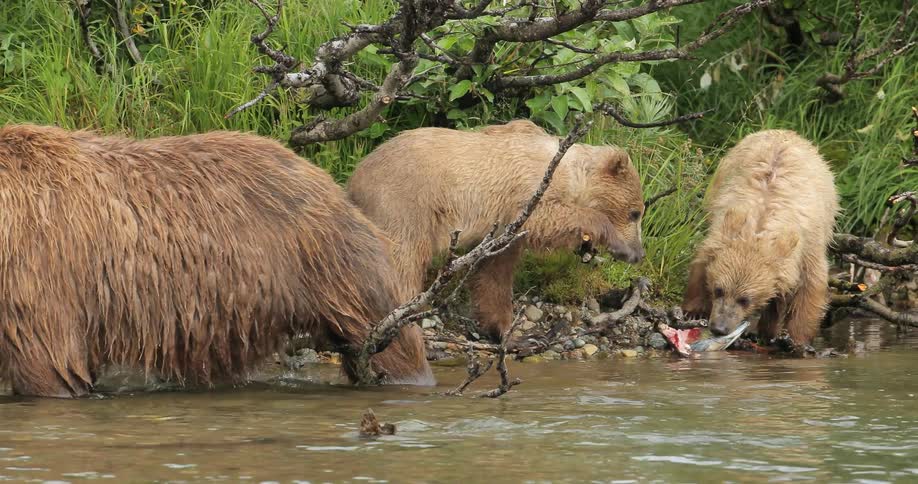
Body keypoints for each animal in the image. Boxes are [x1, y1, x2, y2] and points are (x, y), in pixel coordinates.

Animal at [347, 119, 646, 341]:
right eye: (636, 213)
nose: (638, 254)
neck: (572, 173)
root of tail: (355, 176)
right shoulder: (528, 191)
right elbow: (545, 218)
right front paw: (614, 238)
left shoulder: (504, 230)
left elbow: (495, 273)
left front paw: (507, 331)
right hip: (405, 202)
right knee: (404, 256)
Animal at [681, 129, 840, 344]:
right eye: (718, 290)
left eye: (745, 299)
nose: (719, 328)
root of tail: (786, 131)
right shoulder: (723, 221)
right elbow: (703, 260)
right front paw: (694, 309)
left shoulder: (808, 244)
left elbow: (810, 285)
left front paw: (798, 338)